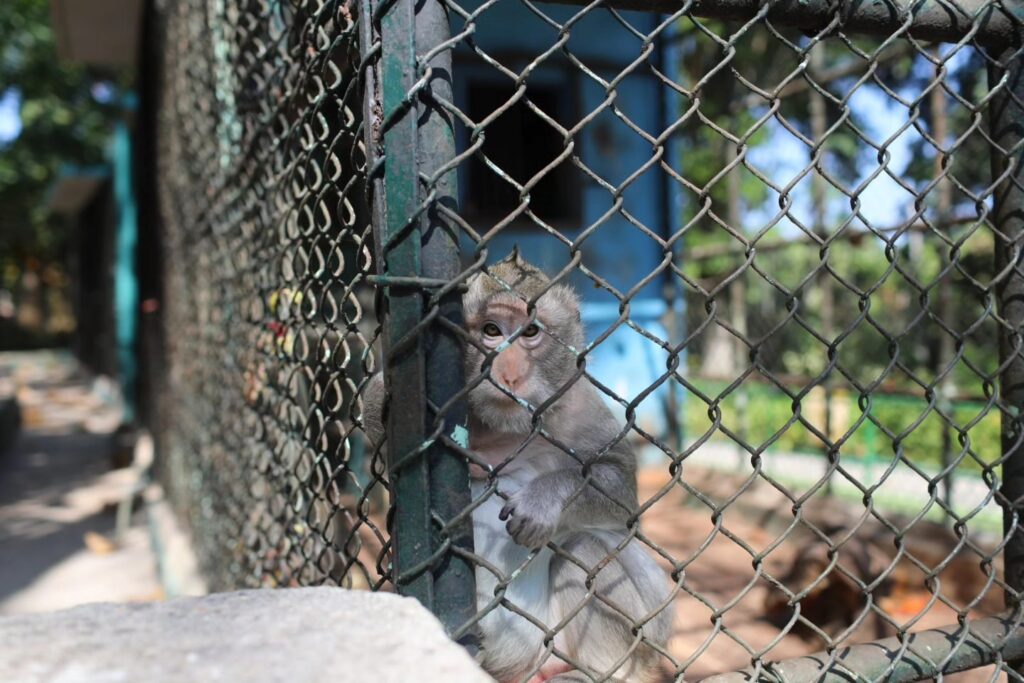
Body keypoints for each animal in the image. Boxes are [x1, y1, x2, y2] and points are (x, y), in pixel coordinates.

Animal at [364, 250, 675, 683]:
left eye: (530, 333)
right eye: (491, 330)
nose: (509, 372)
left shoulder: (578, 402)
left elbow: (619, 489)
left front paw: (543, 500)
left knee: (588, 548)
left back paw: (593, 674)